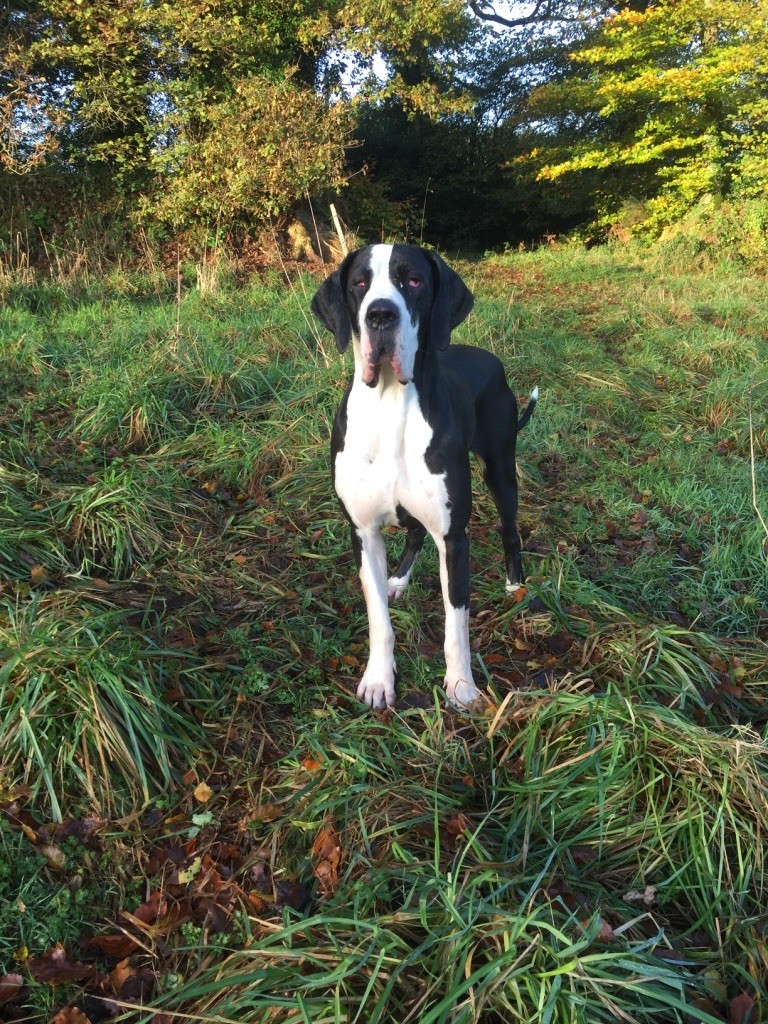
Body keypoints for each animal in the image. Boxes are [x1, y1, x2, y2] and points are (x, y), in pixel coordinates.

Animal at [309, 243, 536, 708]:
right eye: (359, 283)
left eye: (412, 280)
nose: (380, 315)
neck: (391, 403)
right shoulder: (363, 532)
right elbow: (378, 618)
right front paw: (378, 679)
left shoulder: (454, 538)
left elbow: (456, 624)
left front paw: (462, 684)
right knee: (413, 533)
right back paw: (398, 579)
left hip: (501, 470)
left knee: (509, 529)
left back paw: (514, 585)